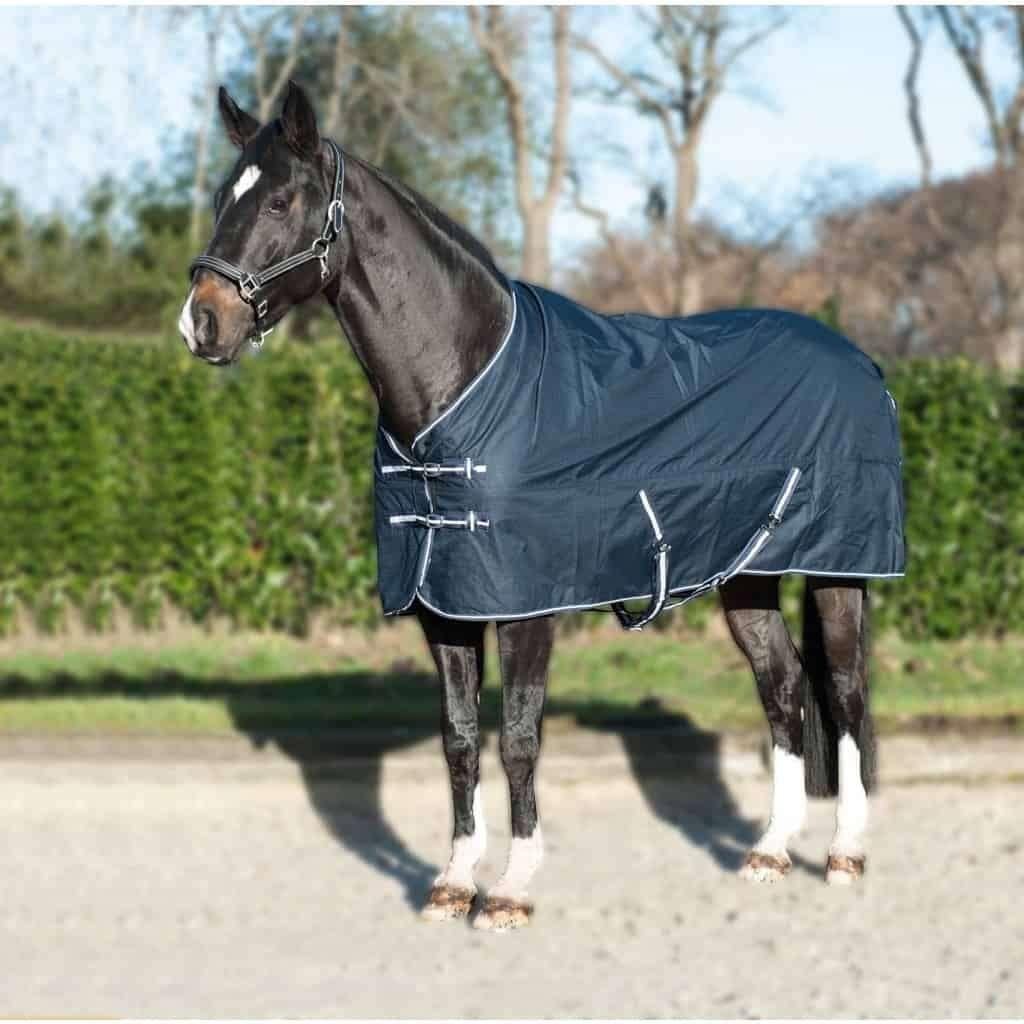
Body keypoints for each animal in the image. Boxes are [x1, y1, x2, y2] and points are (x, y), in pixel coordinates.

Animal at [180, 81, 903, 931]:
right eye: (222, 198)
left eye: (282, 200)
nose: (201, 322)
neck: (462, 383)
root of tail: (858, 359)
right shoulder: (444, 604)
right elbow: (460, 738)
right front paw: (453, 882)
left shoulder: (525, 605)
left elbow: (519, 736)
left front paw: (511, 890)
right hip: (749, 577)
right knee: (783, 686)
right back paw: (769, 850)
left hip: (837, 571)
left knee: (847, 694)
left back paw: (845, 853)